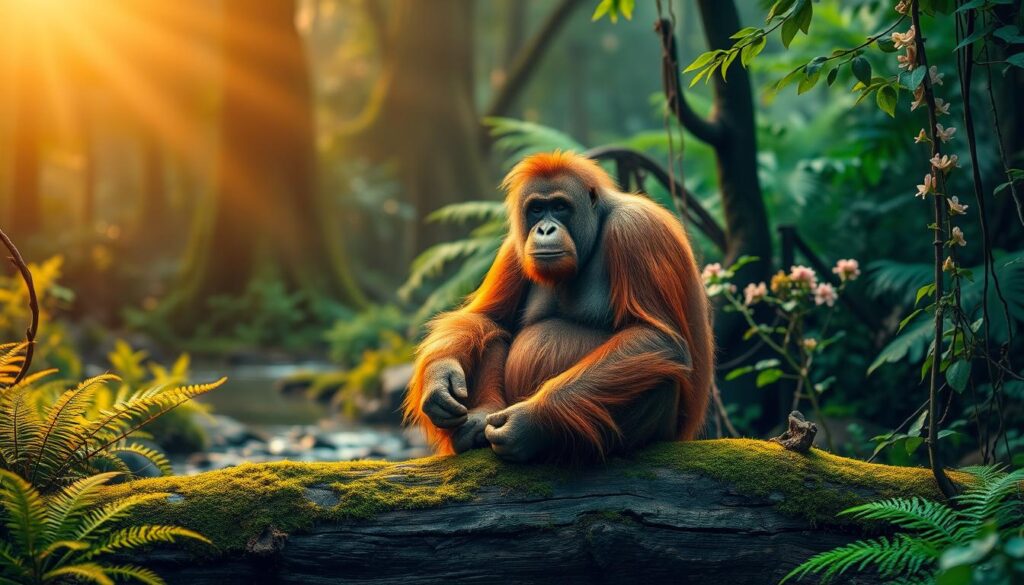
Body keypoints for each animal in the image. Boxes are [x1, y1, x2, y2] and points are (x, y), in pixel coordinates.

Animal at [404, 151, 713, 463]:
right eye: (537, 209)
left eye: (561, 207)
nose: (544, 229)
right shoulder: (514, 247)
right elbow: (485, 316)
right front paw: (440, 376)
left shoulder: (636, 228)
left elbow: (658, 337)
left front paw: (527, 422)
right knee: (491, 331)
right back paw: (480, 418)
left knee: (658, 372)